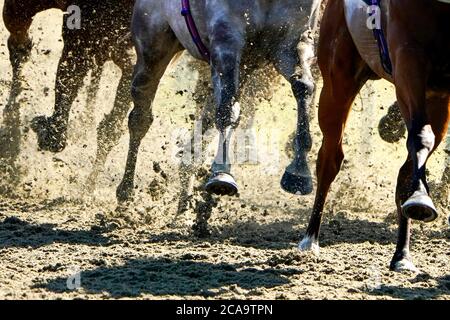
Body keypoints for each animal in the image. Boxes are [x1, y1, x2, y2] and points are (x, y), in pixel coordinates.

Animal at [115, 0, 320, 202]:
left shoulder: (291, 41)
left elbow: (303, 85)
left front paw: (299, 172)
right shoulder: (226, 39)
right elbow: (227, 109)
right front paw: (222, 174)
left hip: (243, 67)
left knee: (205, 122)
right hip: (152, 47)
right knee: (140, 117)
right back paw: (126, 188)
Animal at [298, 0, 450, 272]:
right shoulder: (407, 61)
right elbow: (420, 135)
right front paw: (421, 197)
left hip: (438, 100)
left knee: (404, 172)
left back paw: (402, 254)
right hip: (338, 82)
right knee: (329, 159)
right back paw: (310, 238)